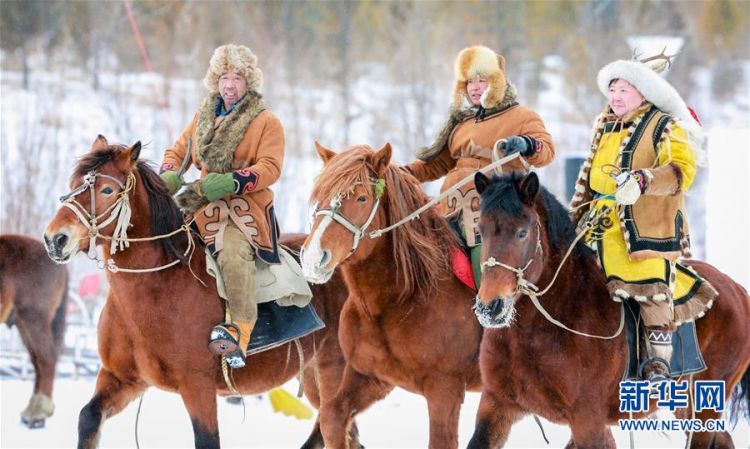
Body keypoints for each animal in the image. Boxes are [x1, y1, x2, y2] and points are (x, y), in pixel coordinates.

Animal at [43, 136, 362, 448]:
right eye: (73, 184)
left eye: (107, 189)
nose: (55, 239)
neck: (158, 288)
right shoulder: (123, 378)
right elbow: (88, 418)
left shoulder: (197, 386)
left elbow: (207, 439)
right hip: (312, 375)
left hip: (332, 373)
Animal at [300, 144, 482, 448]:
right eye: (319, 196)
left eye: (361, 197)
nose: (314, 257)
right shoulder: (371, 376)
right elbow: (332, 417)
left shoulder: (446, 389)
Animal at [470, 170, 750, 446]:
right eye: (481, 230)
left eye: (522, 233)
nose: (490, 306)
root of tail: (736, 289)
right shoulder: (496, 405)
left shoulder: (588, 420)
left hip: (704, 405)